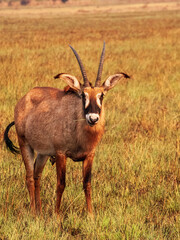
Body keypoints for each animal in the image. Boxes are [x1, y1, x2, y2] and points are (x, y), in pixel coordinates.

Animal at [3, 42, 129, 216]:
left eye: (101, 95)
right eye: (83, 95)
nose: (93, 118)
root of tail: (24, 98)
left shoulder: (89, 155)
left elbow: (87, 184)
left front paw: (91, 215)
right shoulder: (61, 154)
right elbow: (61, 184)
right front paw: (57, 215)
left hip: (43, 153)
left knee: (37, 175)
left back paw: (40, 211)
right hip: (25, 144)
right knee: (29, 177)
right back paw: (34, 212)